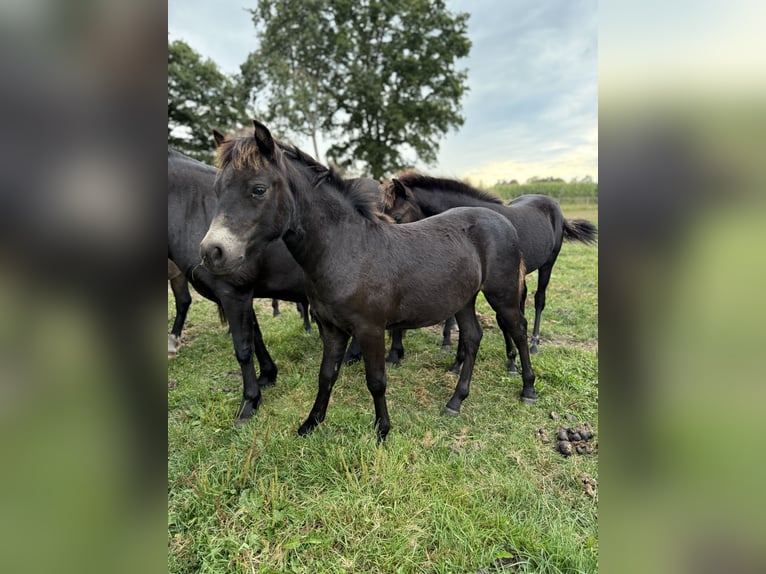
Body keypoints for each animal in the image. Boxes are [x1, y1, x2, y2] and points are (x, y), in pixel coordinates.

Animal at [168, 148, 311, 420]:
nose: (212, 252)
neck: (195, 209)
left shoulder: (233, 294)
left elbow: (243, 348)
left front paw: (250, 402)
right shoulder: (242, 295)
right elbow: (256, 337)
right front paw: (267, 376)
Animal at [200, 120, 535, 439]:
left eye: (258, 189)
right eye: (216, 189)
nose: (212, 252)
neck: (347, 249)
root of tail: (504, 221)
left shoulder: (370, 329)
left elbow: (376, 381)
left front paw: (382, 430)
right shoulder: (331, 328)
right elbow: (326, 375)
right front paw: (311, 423)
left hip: (502, 295)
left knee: (518, 330)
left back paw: (528, 389)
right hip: (463, 299)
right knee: (473, 336)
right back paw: (455, 401)